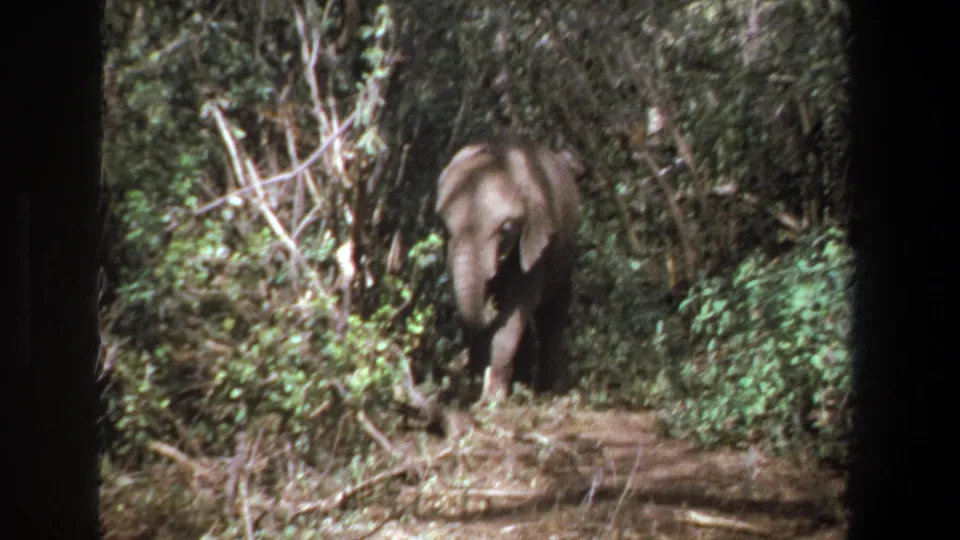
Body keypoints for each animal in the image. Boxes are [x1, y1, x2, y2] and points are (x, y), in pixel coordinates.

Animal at [435, 141, 583, 402]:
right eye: (443, 225)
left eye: (507, 229)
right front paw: (478, 388)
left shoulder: (537, 241)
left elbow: (521, 301)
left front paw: (493, 396)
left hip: (566, 251)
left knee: (552, 314)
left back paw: (551, 389)